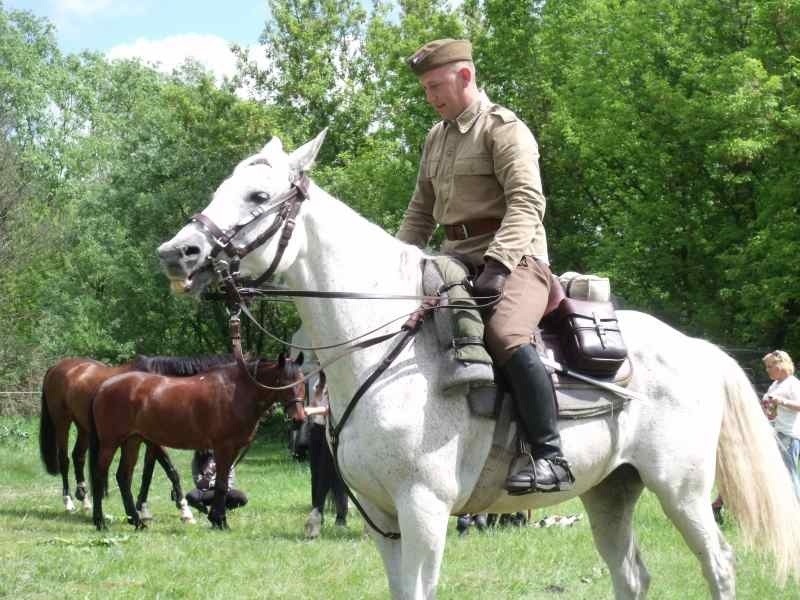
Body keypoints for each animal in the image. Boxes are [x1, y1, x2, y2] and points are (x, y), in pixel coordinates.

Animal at [40, 354, 234, 516]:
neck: (162, 389)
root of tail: (57, 367)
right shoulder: (152, 440)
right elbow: (170, 470)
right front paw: (184, 510)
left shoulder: (150, 440)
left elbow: (148, 473)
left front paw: (142, 507)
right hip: (62, 422)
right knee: (64, 459)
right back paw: (68, 502)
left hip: (83, 427)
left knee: (78, 456)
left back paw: (85, 500)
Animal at [88, 354, 306, 528]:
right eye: (283, 381)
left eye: (302, 382)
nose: (299, 419)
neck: (236, 392)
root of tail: (104, 387)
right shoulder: (223, 447)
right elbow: (220, 485)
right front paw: (220, 521)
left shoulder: (232, 449)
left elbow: (221, 483)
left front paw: (216, 519)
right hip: (110, 443)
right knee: (99, 476)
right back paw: (100, 521)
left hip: (132, 441)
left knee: (123, 477)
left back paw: (137, 521)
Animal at [158, 132, 800, 600]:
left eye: (258, 197)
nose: (177, 253)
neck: (384, 347)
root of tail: (696, 347)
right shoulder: (380, 517)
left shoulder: (424, 509)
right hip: (610, 492)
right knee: (632, 575)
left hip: (682, 492)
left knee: (719, 565)